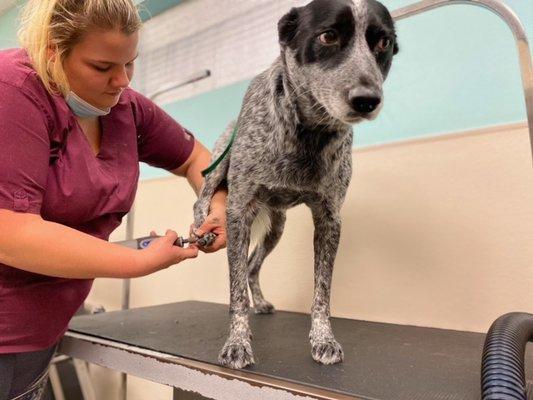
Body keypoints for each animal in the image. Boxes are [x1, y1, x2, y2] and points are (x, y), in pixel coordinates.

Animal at [193, 0, 396, 368]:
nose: (367, 99)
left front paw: (323, 339)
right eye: (328, 35)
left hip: (276, 228)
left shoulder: (330, 220)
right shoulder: (239, 213)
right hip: (221, 163)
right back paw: (202, 225)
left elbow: (322, 292)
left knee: (253, 267)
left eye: (384, 42)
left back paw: (259, 301)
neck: (307, 133)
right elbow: (234, 294)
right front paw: (237, 343)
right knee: (204, 196)